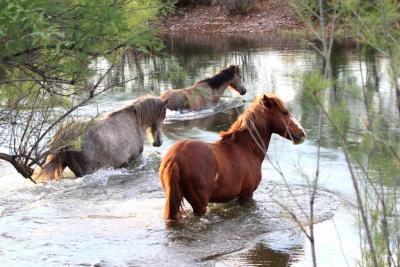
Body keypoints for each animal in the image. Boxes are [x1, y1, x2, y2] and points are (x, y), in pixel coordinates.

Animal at [32, 96, 167, 182]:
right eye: (163, 117)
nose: (158, 142)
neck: (135, 123)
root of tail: (67, 135)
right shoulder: (130, 161)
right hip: (85, 170)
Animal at [159, 93, 306, 221]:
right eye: (285, 112)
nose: (302, 133)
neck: (246, 148)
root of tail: (174, 159)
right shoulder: (246, 195)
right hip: (199, 205)